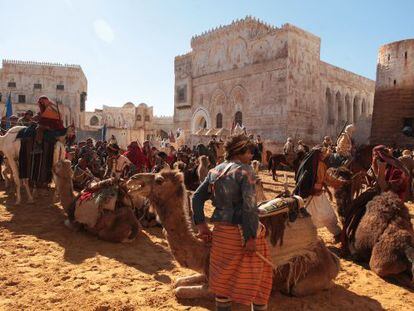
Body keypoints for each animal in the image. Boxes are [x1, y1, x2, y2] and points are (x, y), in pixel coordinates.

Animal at [128, 171, 342, 300]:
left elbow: (180, 290)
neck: (204, 249)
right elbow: (179, 281)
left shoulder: (218, 283)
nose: (132, 178)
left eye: (159, 180)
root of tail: (331, 258)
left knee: (305, 287)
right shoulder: (206, 270)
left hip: (306, 279)